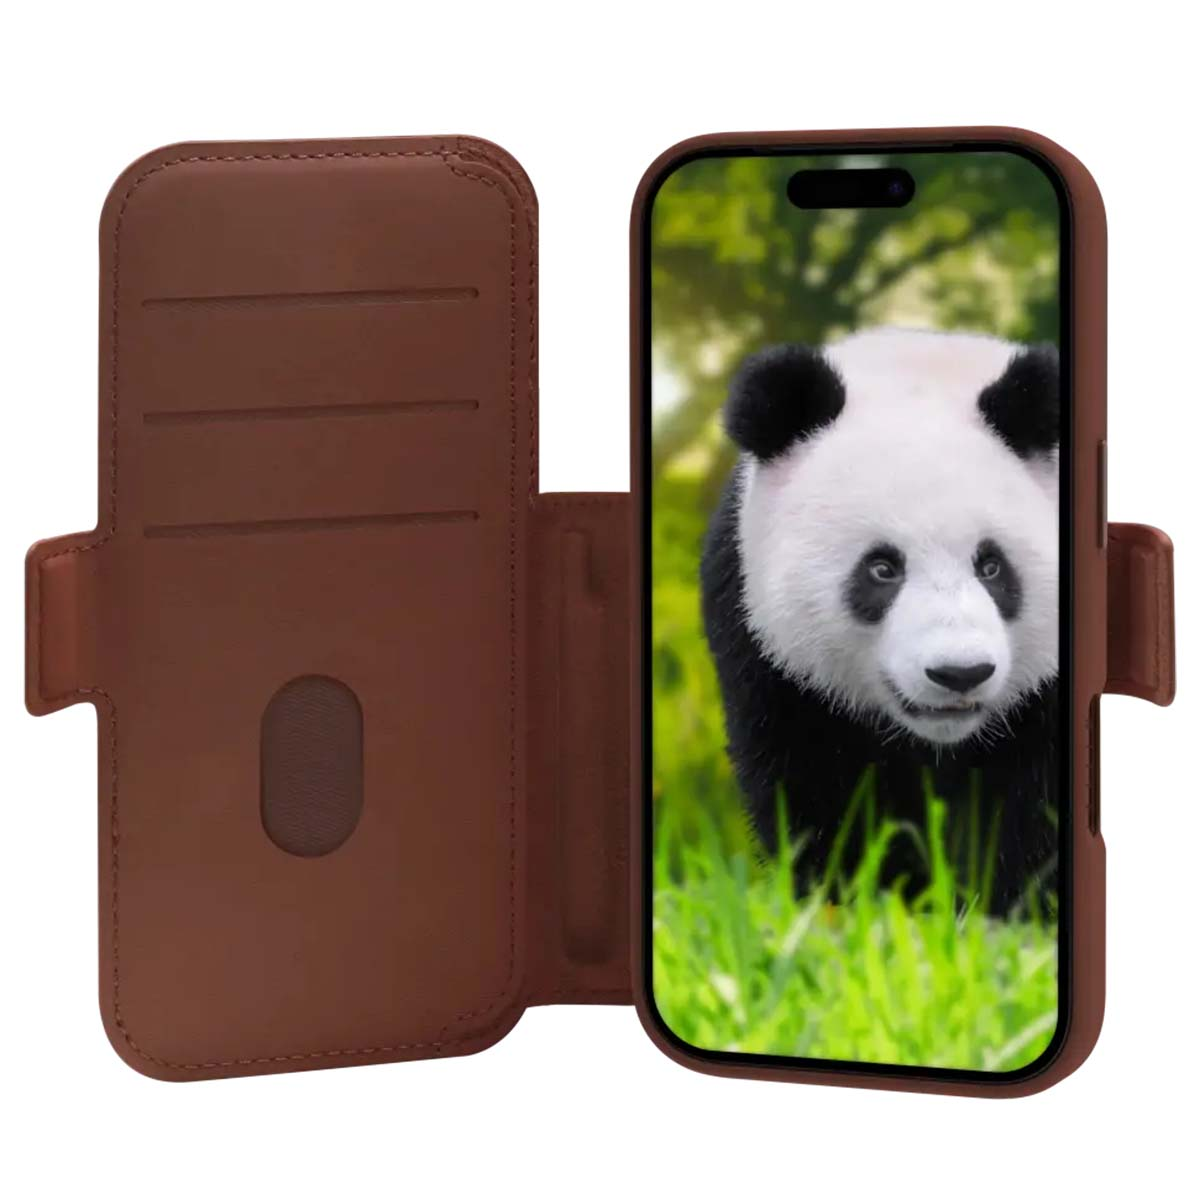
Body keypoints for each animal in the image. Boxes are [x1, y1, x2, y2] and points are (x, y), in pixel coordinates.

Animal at [700, 327, 1060, 915]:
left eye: (991, 566)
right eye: (882, 568)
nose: (959, 673)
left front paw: (1007, 908)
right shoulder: (764, 648)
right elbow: (820, 789)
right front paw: (865, 901)